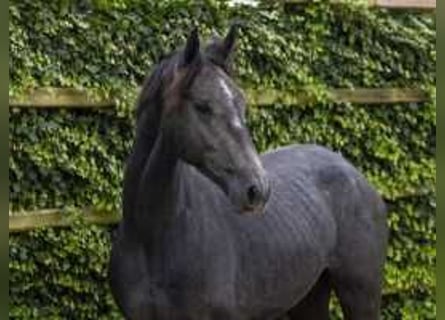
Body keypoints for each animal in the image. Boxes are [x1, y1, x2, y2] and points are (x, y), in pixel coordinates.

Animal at [109, 25, 386, 320]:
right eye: (202, 105)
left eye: (242, 104)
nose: (257, 190)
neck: (153, 237)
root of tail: (357, 176)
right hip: (310, 296)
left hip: (361, 295)